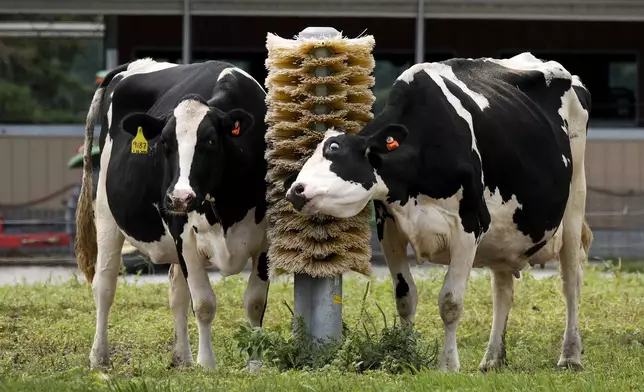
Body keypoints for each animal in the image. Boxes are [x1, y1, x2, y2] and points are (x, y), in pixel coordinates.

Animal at [76, 58, 270, 368]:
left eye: (210, 141)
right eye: (165, 143)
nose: (179, 198)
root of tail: (135, 64)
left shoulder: (266, 240)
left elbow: (254, 302)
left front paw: (254, 365)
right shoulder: (185, 237)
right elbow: (204, 304)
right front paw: (208, 365)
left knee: (176, 292)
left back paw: (183, 358)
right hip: (106, 213)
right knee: (104, 286)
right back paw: (99, 358)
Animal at [286, 53, 592, 372]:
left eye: (335, 149)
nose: (295, 190)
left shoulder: (470, 226)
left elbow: (450, 302)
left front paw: (448, 365)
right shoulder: (389, 228)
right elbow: (405, 297)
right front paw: (405, 355)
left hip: (574, 201)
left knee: (571, 281)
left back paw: (570, 355)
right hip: (505, 232)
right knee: (503, 290)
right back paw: (492, 358)